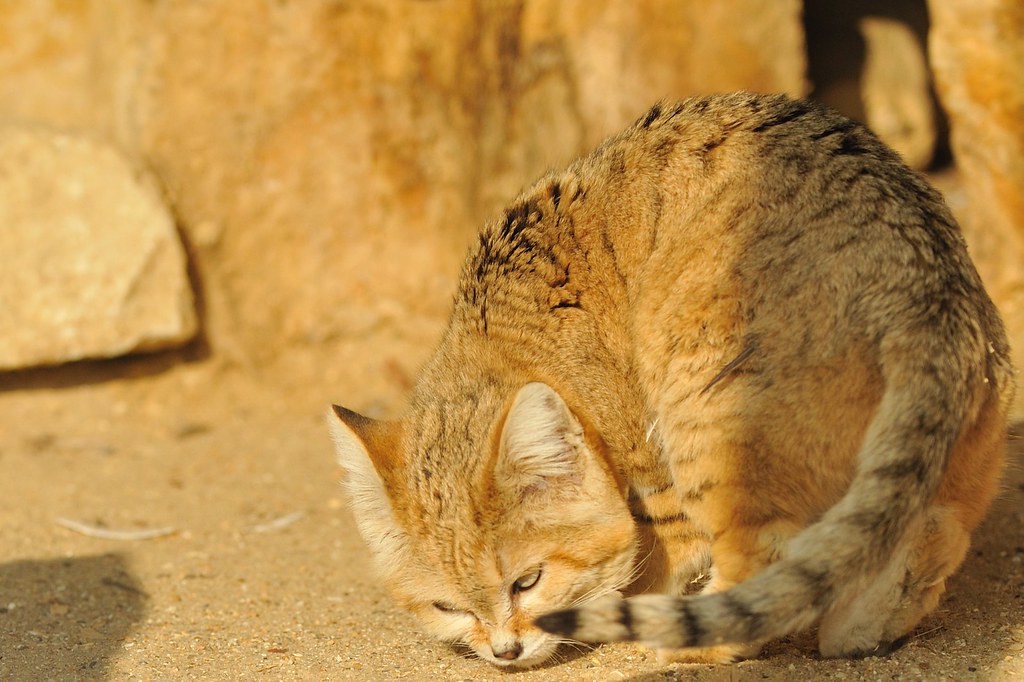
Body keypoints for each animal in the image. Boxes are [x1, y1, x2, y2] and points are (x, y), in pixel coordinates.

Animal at [325, 93, 1007, 667]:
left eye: (528, 581)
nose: (504, 653)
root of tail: (923, 282)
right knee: (928, 531)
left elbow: (657, 546)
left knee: (762, 558)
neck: (507, 330)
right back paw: (865, 626)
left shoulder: (648, 466)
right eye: (447, 606)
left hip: (701, 406)